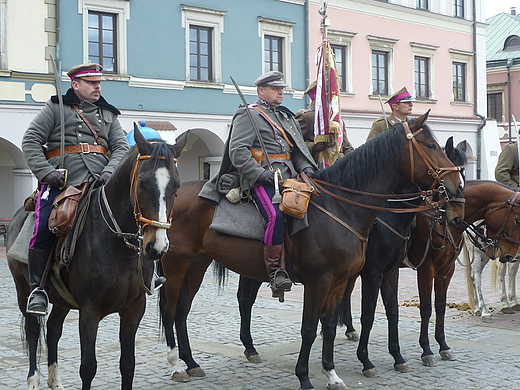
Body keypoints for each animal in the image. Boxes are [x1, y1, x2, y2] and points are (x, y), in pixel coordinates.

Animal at [6, 127, 189, 390]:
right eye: (142, 183)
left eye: (176, 185)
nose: (157, 247)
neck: (120, 250)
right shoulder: (89, 312)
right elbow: (88, 367)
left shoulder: (134, 309)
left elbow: (128, 365)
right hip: (24, 290)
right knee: (33, 330)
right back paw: (33, 380)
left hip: (62, 298)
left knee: (53, 329)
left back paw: (54, 380)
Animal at [158, 113, 464, 390]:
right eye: (431, 146)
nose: (457, 188)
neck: (341, 207)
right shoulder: (324, 280)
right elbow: (311, 327)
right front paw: (306, 377)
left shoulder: (344, 280)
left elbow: (330, 325)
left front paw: (332, 374)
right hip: (176, 264)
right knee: (170, 308)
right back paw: (176, 366)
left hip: (198, 263)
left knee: (184, 309)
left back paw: (192, 362)